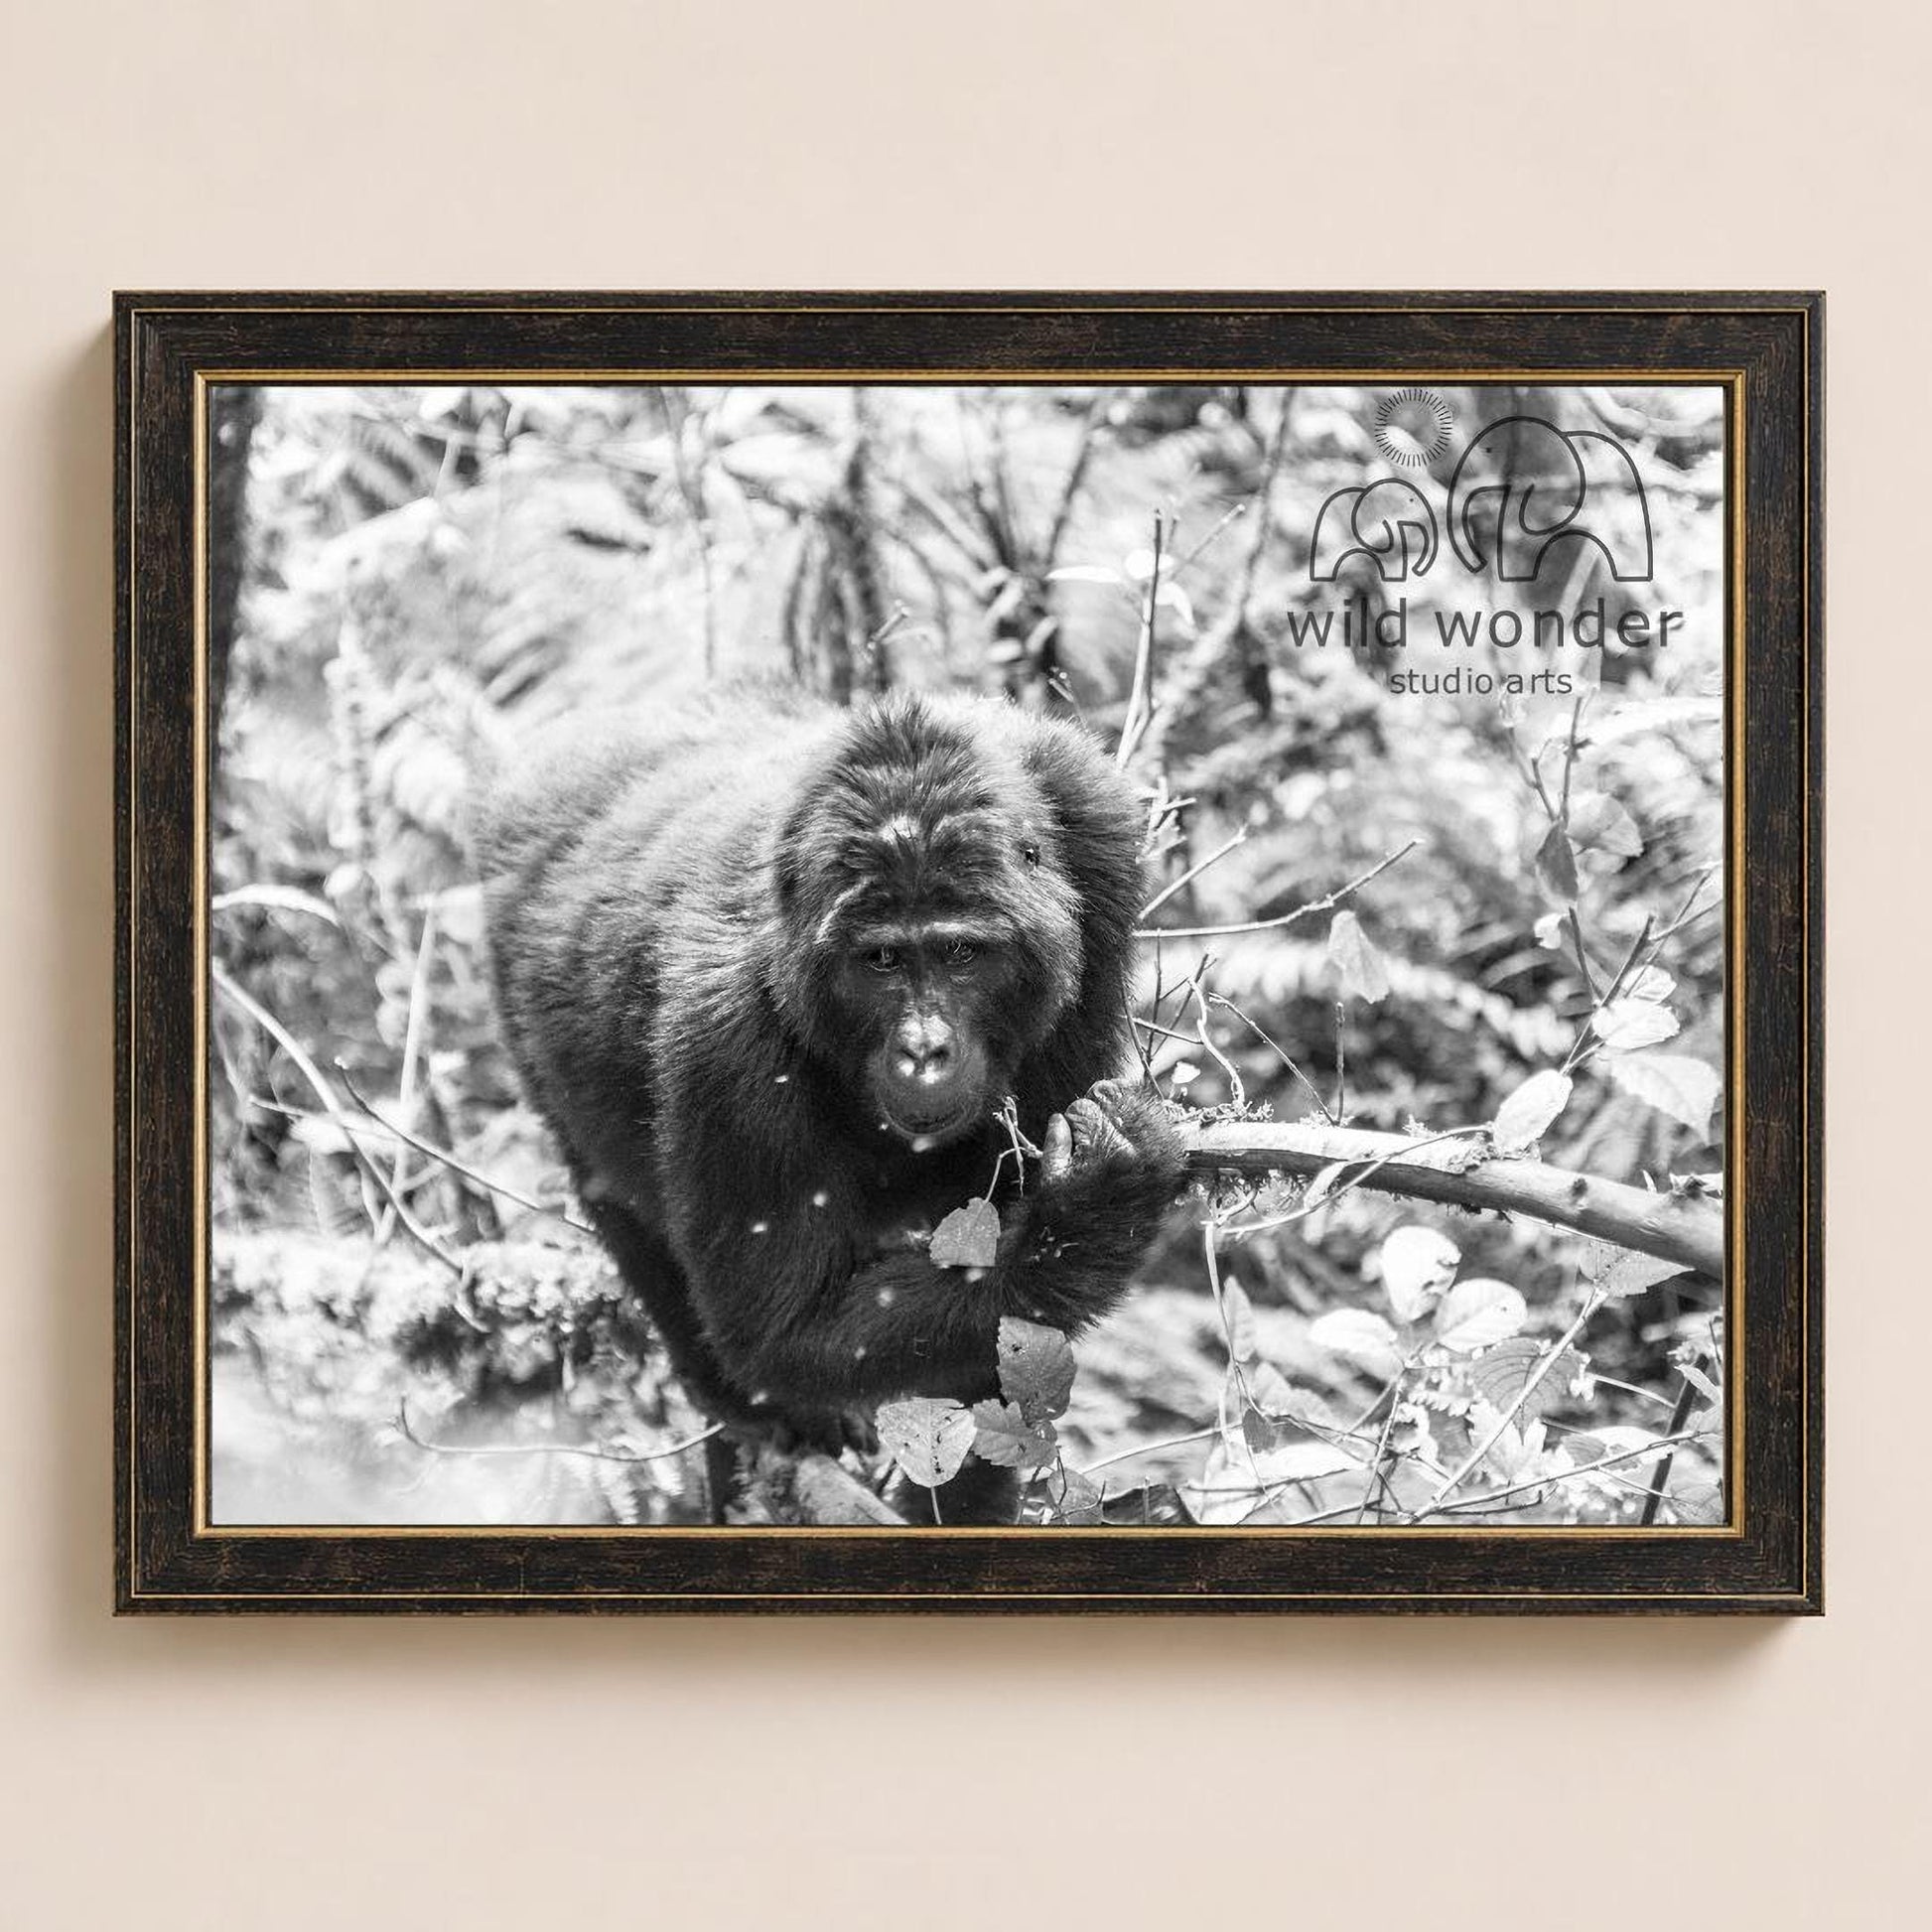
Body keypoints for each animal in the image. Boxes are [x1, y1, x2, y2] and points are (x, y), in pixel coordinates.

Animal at [472, 684, 1187, 1522]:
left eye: (961, 953)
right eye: (880, 961)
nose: (923, 1051)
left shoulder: (1100, 842)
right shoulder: (722, 1035)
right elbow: (784, 1333)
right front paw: (1087, 1216)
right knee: (614, 1193)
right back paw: (737, 1406)